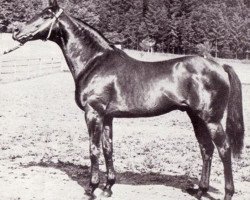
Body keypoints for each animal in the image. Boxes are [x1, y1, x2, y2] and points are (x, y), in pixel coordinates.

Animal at [12, 0, 244, 199]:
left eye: (45, 16)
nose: (16, 33)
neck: (95, 62)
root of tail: (219, 66)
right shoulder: (107, 117)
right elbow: (108, 148)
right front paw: (108, 188)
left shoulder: (93, 113)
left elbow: (93, 150)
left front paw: (91, 189)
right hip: (196, 117)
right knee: (206, 149)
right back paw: (200, 191)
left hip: (211, 119)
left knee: (224, 150)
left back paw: (227, 193)